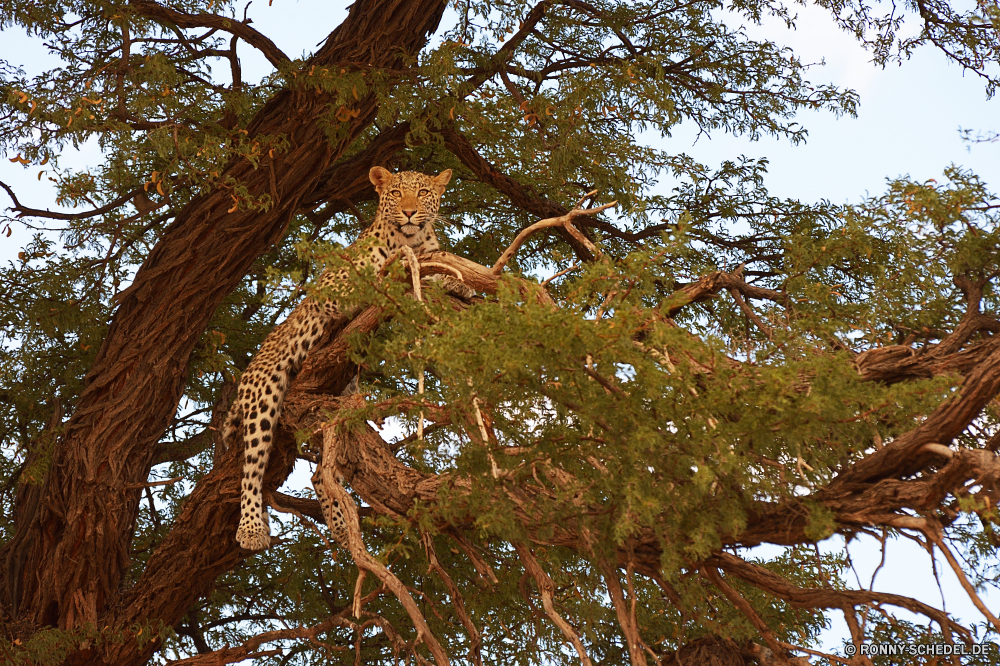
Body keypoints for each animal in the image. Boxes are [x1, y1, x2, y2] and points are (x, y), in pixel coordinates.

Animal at [226, 166, 454, 548]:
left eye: (423, 193)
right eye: (396, 193)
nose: (409, 212)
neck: (410, 242)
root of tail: (247, 372)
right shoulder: (331, 288)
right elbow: (369, 280)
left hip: (342, 400)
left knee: (322, 473)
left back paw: (340, 524)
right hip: (263, 396)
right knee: (251, 469)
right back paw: (251, 529)